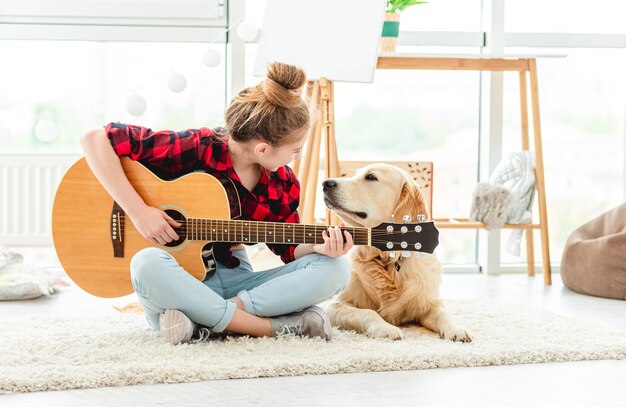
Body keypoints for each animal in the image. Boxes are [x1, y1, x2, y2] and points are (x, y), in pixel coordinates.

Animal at [320, 164, 470, 342]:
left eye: (370, 177)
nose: (325, 183)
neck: (388, 259)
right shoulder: (334, 305)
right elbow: (368, 312)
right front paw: (385, 328)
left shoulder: (427, 303)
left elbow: (444, 313)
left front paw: (457, 329)